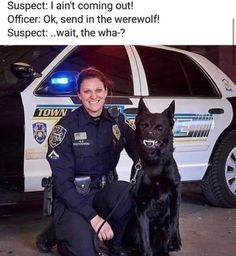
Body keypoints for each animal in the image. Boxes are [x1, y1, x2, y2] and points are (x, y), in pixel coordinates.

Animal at [124, 98, 182, 256]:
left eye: (159, 128)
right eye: (144, 125)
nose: (149, 134)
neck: (154, 163)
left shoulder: (175, 193)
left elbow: (175, 217)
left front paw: (175, 240)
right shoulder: (141, 205)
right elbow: (144, 239)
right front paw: (146, 251)